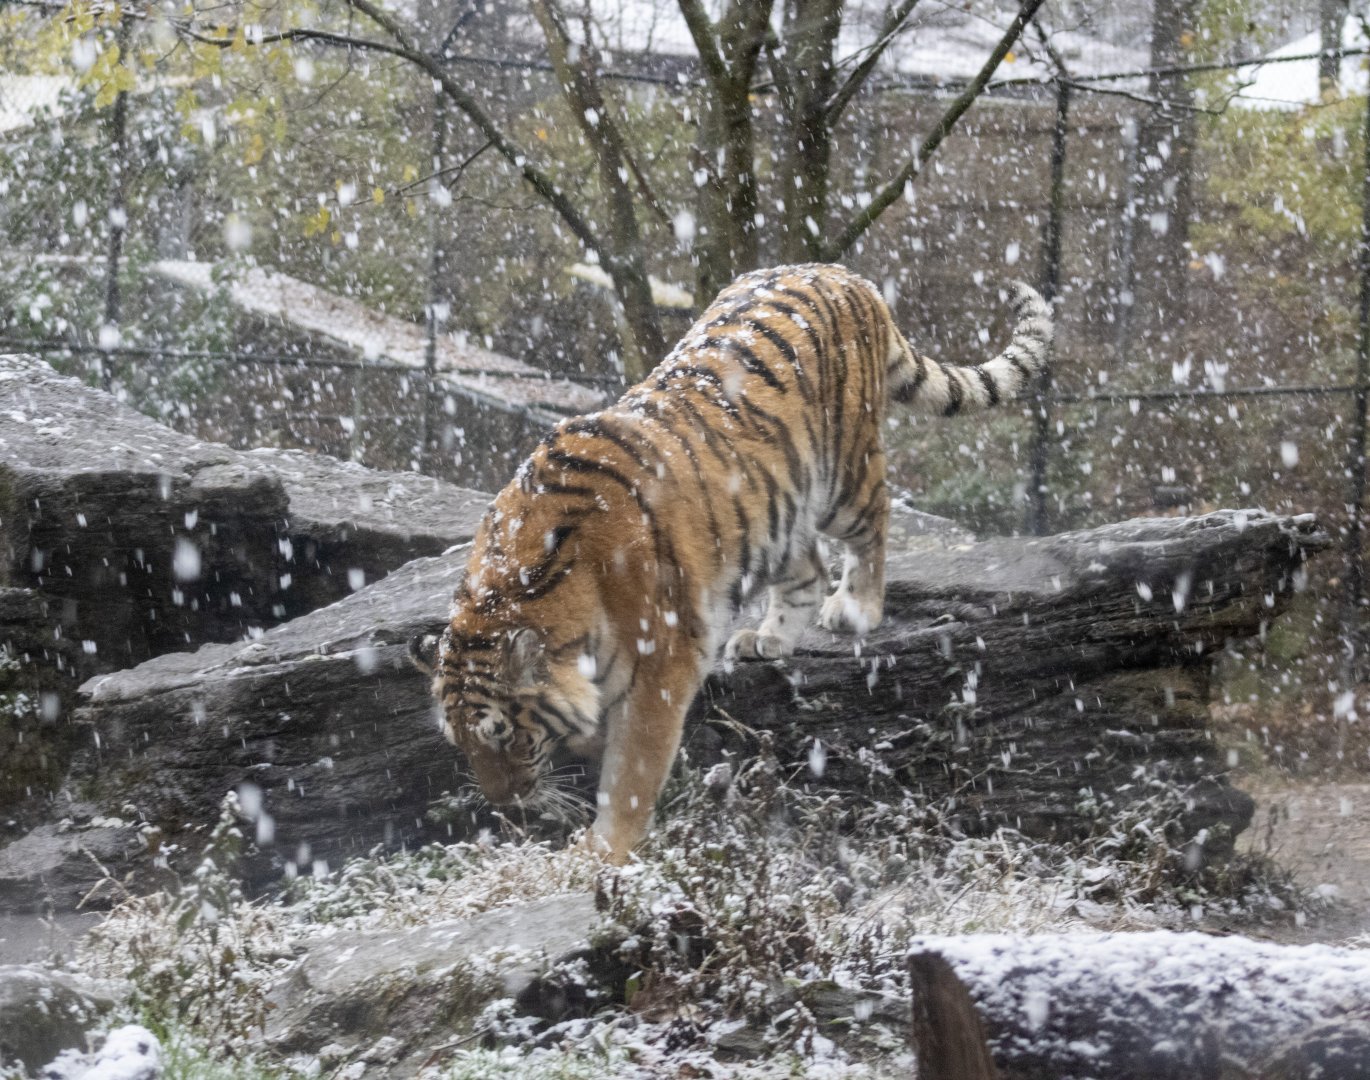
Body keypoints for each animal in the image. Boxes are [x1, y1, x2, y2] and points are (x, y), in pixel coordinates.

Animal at [410, 263, 1052, 863]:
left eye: (504, 736)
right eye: (461, 744)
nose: (503, 804)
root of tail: (842, 274)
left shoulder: (662, 665)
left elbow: (632, 772)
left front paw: (603, 850)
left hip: (845, 476)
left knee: (874, 523)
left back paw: (857, 609)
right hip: (770, 511)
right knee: (808, 570)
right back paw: (767, 638)